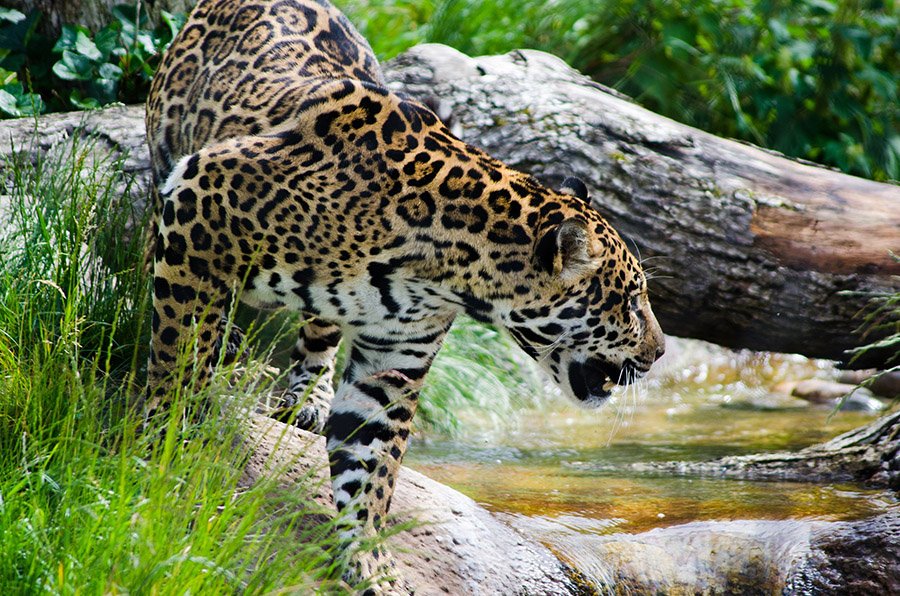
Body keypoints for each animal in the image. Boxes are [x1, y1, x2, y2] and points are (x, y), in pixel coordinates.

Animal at [144, 0, 665, 592]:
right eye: (630, 299)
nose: (660, 352)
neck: (443, 266)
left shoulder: (393, 357)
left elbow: (371, 465)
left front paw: (370, 561)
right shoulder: (201, 200)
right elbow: (178, 357)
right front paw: (165, 449)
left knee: (318, 334)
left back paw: (308, 395)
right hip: (169, 164)